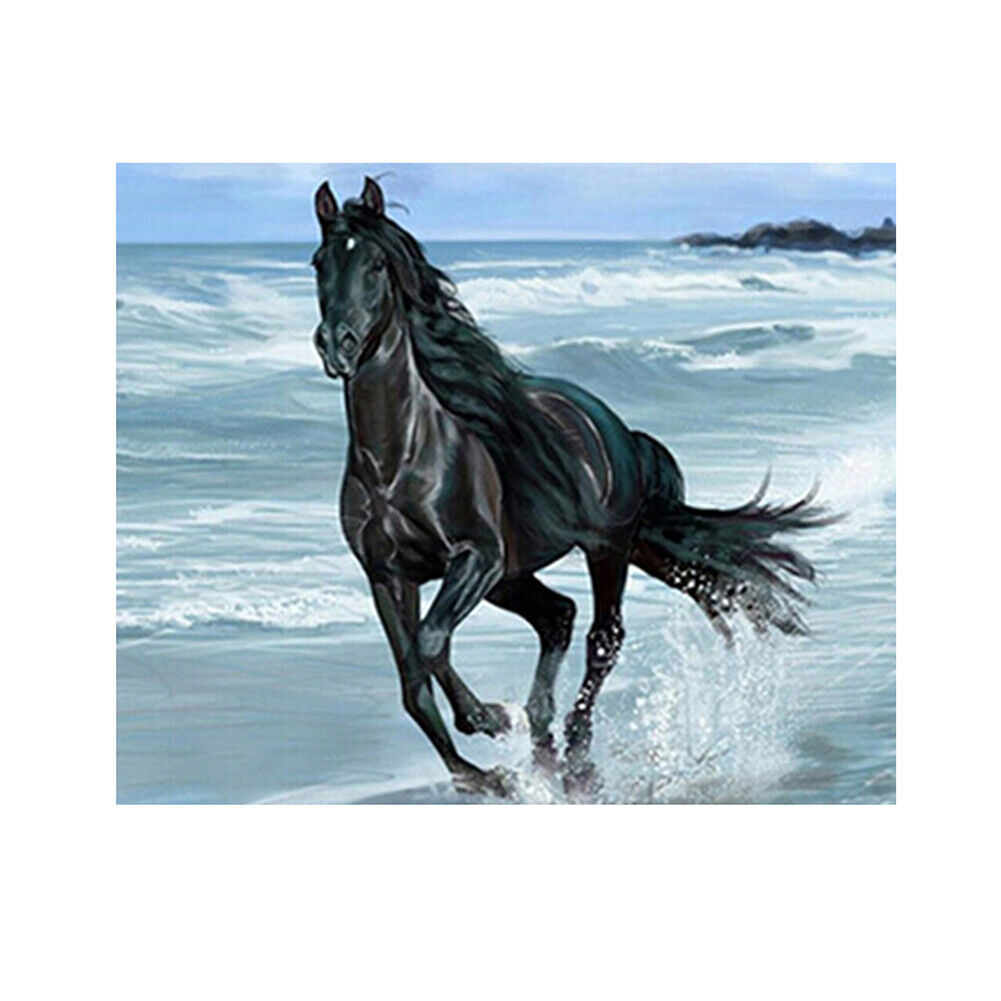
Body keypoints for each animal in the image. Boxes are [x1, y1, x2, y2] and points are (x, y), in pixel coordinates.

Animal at [310, 176, 833, 798]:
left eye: (375, 266)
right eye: (319, 263)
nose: (337, 344)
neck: (398, 461)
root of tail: (618, 431)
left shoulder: (476, 558)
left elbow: (431, 642)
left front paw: (488, 719)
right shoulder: (388, 575)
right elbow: (413, 681)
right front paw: (481, 774)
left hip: (600, 549)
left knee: (602, 637)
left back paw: (576, 756)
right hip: (515, 575)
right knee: (558, 615)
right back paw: (543, 748)